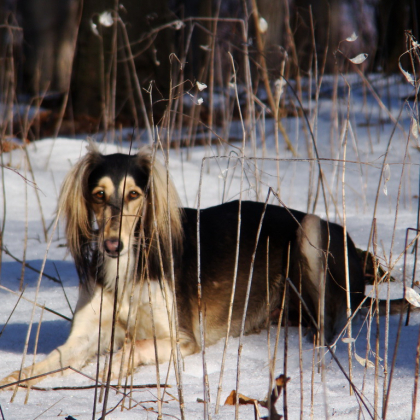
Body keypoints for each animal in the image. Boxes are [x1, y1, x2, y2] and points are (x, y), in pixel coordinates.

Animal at [0, 145, 364, 388]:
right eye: (99, 195)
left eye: (134, 194)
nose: (112, 246)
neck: (129, 267)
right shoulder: (86, 335)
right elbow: (52, 359)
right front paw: (17, 379)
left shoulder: (183, 339)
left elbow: (134, 345)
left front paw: (114, 367)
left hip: (310, 229)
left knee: (329, 324)